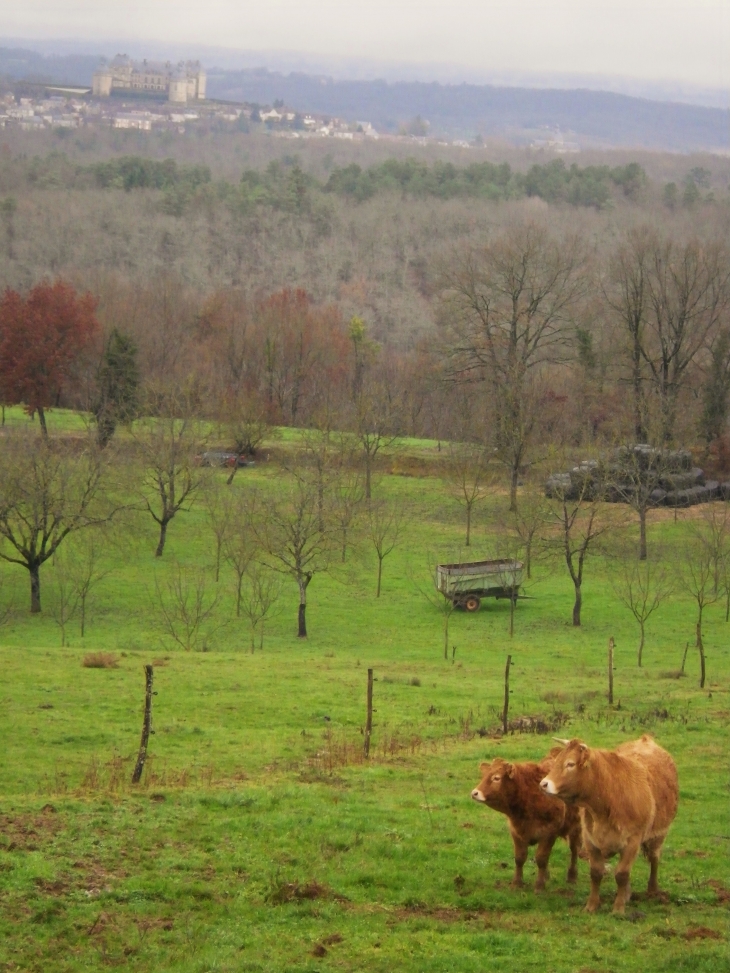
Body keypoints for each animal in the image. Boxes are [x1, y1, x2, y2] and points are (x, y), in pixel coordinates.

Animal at [472, 752, 580, 888]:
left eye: (496, 778)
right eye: (484, 776)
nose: (474, 793)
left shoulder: (549, 834)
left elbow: (541, 859)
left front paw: (539, 886)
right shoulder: (516, 832)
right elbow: (520, 858)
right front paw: (516, 883)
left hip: (575, 828)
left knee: (574, 850)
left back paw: (572, 876)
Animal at [536, 732, 680, 916]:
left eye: (570, 764)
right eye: (557, 761)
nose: (543, 784)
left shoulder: (633, 842)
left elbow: (622, 874)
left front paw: (618, 909)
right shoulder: (590, 840)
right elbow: (596, 873)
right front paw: (592, 905)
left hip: (658, 835)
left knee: (654, 859)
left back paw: (653, 890)